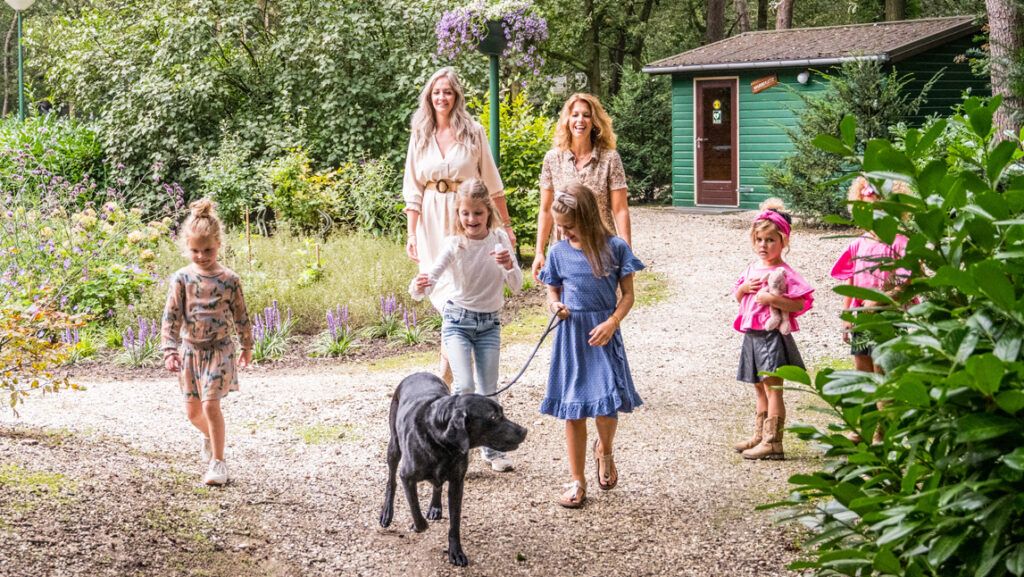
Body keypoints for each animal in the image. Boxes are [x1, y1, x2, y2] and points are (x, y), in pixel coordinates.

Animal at [378, 373, 528, 565]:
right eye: (494, 417)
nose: (524, 430)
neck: (441, 442)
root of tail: (419, 373)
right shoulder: (407, 477)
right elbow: (415, 510)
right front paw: (418, 526)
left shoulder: (457, 484)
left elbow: (454, 524)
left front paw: (456, 551)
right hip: (394, 446)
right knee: (391, 482)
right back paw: (387, 513)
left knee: (437, 485)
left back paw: (435, 507)